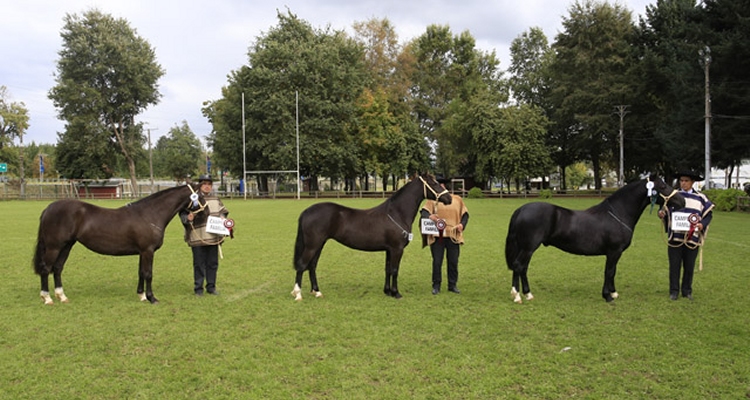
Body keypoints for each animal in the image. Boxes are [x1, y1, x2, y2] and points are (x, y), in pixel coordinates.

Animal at [32, 183, 206, 304]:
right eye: (201, 195)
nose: (207, 212)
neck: (149, 214)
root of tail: (48, 208)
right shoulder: (148, 251)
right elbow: (148, 274)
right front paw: (152, 298)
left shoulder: (142, 252)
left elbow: (141, 272)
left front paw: (142, 296)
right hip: (54, 247)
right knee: (46, 269)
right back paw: (47, 298)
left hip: (66, 246)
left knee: (57, 268)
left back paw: (62, 296)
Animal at [290, 172, 450, 300]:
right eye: (434, 183)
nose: (449, 198)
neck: (396, 212)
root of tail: (307, 211)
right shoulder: (397, 249)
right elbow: (395, 270)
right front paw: (396, 293)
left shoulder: (389, 250)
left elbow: (387, 269)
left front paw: (387, 291)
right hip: (312, 245)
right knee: (302, 265)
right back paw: (298, 294)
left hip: (319, 244)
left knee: (312, 266)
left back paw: (317, 292)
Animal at [506, 175, 688, 304]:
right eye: (663, 186)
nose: (682, 200)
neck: (618, 213)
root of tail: (521, 209)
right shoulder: (614, 252)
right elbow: (609, 271)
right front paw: (608, 296)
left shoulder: (615, 253)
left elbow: (613, 271)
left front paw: (614, 292)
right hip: (529, 247)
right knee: (519, 266)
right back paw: (517, 296)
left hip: (527, 248)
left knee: (523, 268)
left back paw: (528, 294)